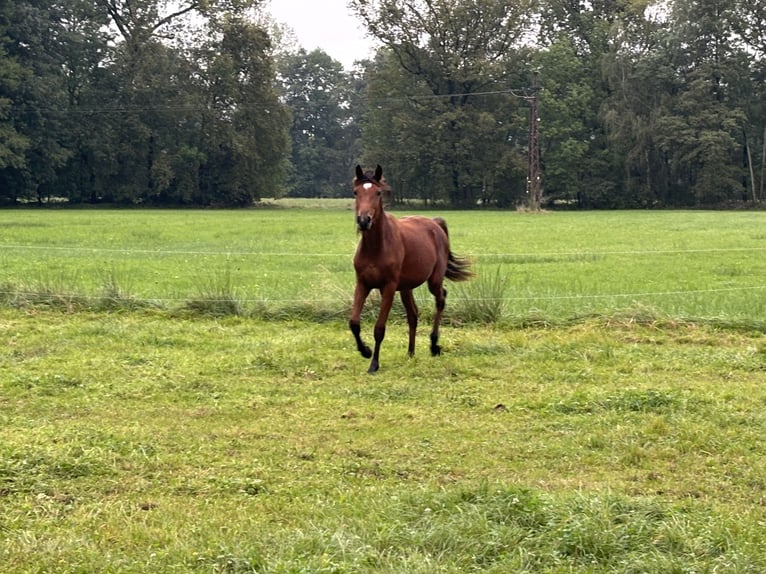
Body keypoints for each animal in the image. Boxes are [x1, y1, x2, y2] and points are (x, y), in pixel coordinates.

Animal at [350, 164, 472, 376]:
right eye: (356, 192)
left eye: (378, 193)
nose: (364, 221)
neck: (376, 247)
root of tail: (435, 224)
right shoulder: (363, 284)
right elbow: (354, 323)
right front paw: (365, 351)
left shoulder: (388, 288)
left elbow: (379, 328)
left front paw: (374, 364)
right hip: (406, 288)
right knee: (413, 314)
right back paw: (410, 352)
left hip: (434, 280)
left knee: (441, 299)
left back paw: (434, 345)